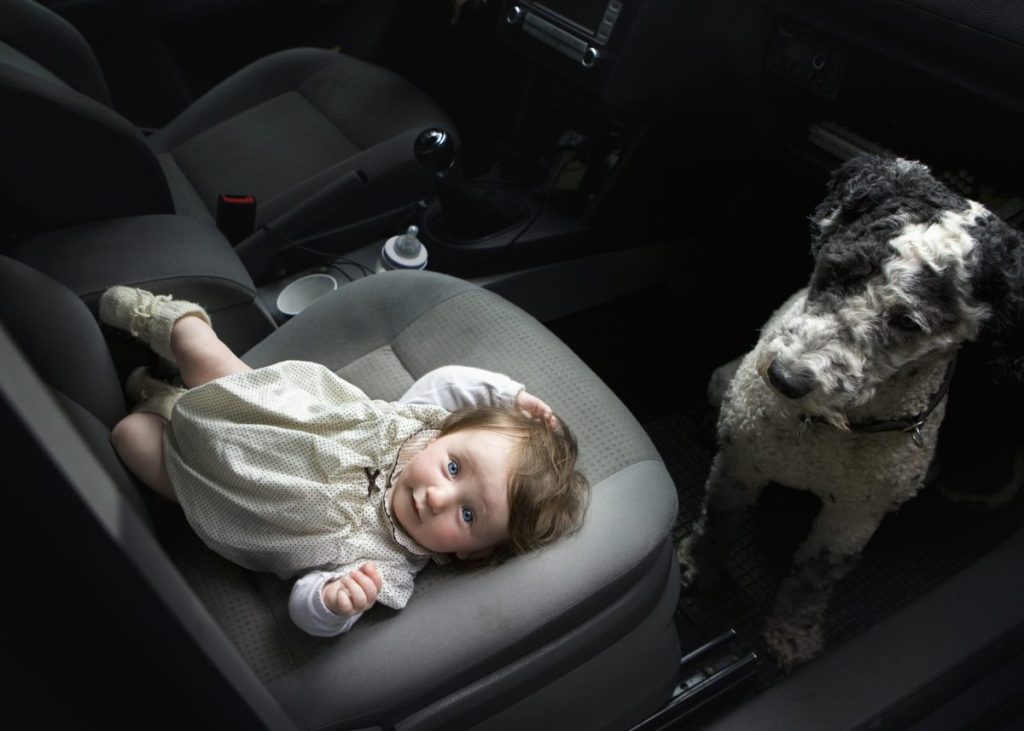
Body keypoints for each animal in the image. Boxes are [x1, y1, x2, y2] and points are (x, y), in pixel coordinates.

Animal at [675, 153, 1019, 667]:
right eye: (838, 269)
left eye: (908, 323)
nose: (786, 378)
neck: (826, 433)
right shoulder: (742, 461)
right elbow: (718, 519)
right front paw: (697, 566)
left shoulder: (855, 515)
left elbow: (814, 577)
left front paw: (793, 633)